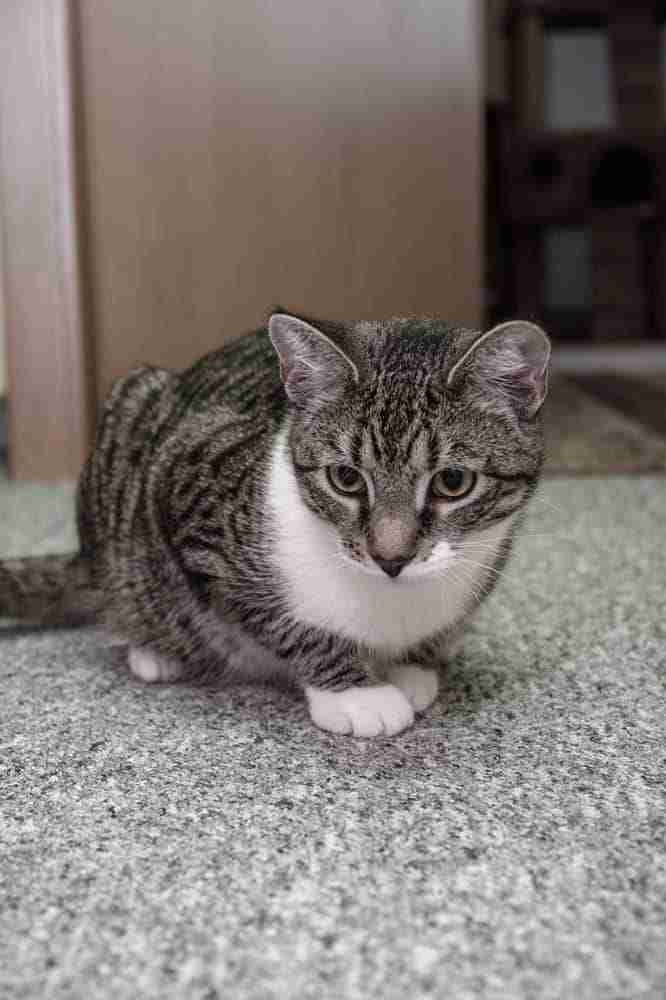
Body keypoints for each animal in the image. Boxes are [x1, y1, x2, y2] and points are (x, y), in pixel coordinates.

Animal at [0, 308, 548, 740]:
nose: (390, 557)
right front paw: (356, 692)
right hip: (131, 416)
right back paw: (154, 650)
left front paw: (413, 665)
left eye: (452, 481)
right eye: (346, 478)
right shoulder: (189, 499)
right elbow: (279, 620)